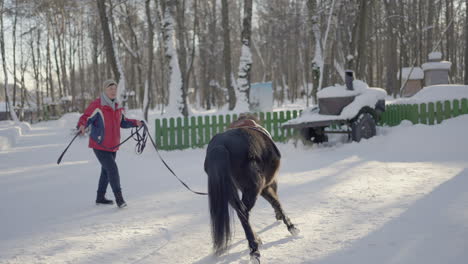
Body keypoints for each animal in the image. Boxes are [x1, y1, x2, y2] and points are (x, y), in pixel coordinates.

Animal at [203, 116, 298, 262]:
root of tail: (220, 145)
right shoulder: (266, 185)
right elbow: (276, 202)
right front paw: (291, 227)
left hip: (229, 190)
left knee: (241, 212)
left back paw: (255, 242)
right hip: (253, 188)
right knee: (244, 213)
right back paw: (254, 250)